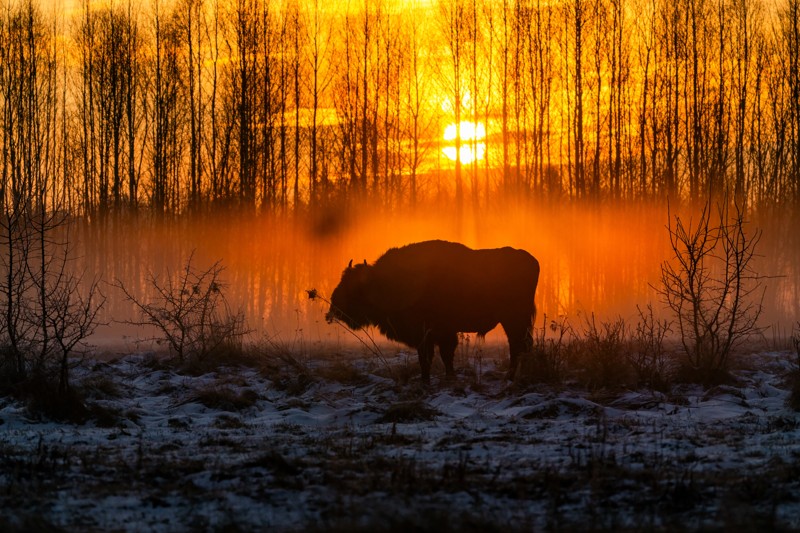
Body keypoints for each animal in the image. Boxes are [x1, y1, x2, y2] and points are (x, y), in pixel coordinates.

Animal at [326, 239, 544, 380]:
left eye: (355, 287)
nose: (334, 305)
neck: (386, 281)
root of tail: (532, 261)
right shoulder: (435, 334)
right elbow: (439, 357)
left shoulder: (432, 333)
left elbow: (432, 357)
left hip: (513, 319)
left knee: (517, 345)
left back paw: (511, 376)